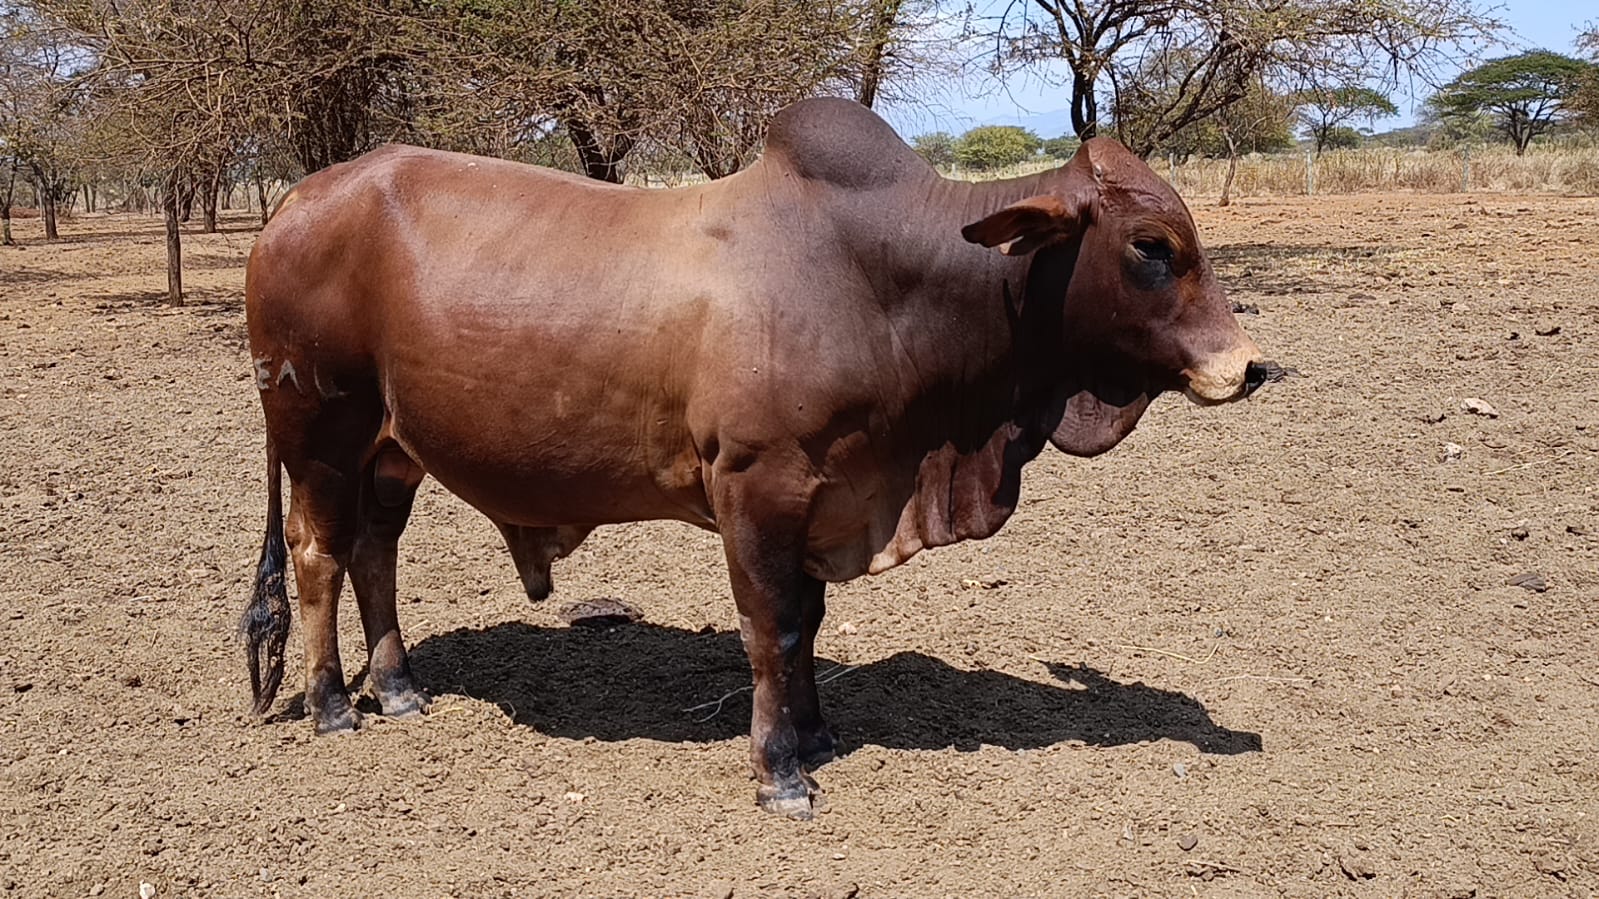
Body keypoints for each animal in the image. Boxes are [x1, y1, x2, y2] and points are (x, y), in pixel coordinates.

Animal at [241, 97, 1269, 819]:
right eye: (1150, 245)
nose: (1248, 365)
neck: (881, 281)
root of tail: (294, 199)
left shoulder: (825, 495)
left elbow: (807, 625)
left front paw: (815, 736)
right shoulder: (755, 489)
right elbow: (770, 631)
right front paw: (780, 773)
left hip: (391, 452)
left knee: (376, 552)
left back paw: (399, 687)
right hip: (320, 434)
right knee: (319, 555)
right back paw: (331, 701)